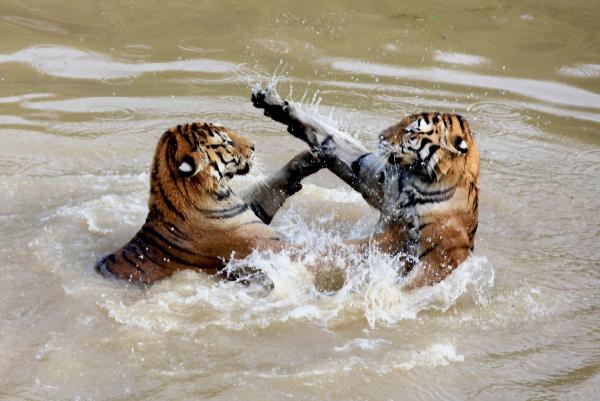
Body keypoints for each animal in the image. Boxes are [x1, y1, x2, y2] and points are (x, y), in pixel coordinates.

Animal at [95, 120, 324, 282]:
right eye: (226, 142)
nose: (254, 146)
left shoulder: (252, 209)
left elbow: (270, 185)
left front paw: (309, 158)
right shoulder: (266, 245)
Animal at [251, 87, 480, 288]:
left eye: (410, 131)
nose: (380, 136)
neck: (416, 177)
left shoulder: (442, 256)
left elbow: (413, 283)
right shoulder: (377, 177)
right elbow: (333, 139)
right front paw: (276, 105)